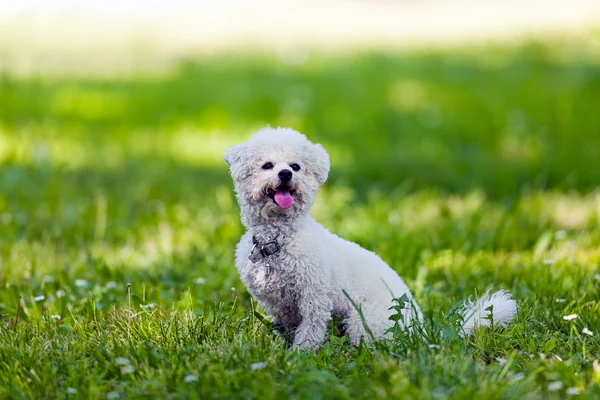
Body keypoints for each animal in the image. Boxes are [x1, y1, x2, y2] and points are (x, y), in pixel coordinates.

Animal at [225, 126, 516, 348]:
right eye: (267, 165)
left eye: (296, 166)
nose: (286, 173)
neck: (277, 240)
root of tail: (420, 331)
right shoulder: (277, 305)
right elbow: (286, 327)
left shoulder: (314, 297)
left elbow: (310, 331)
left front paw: (301, 354)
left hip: (364, 322)